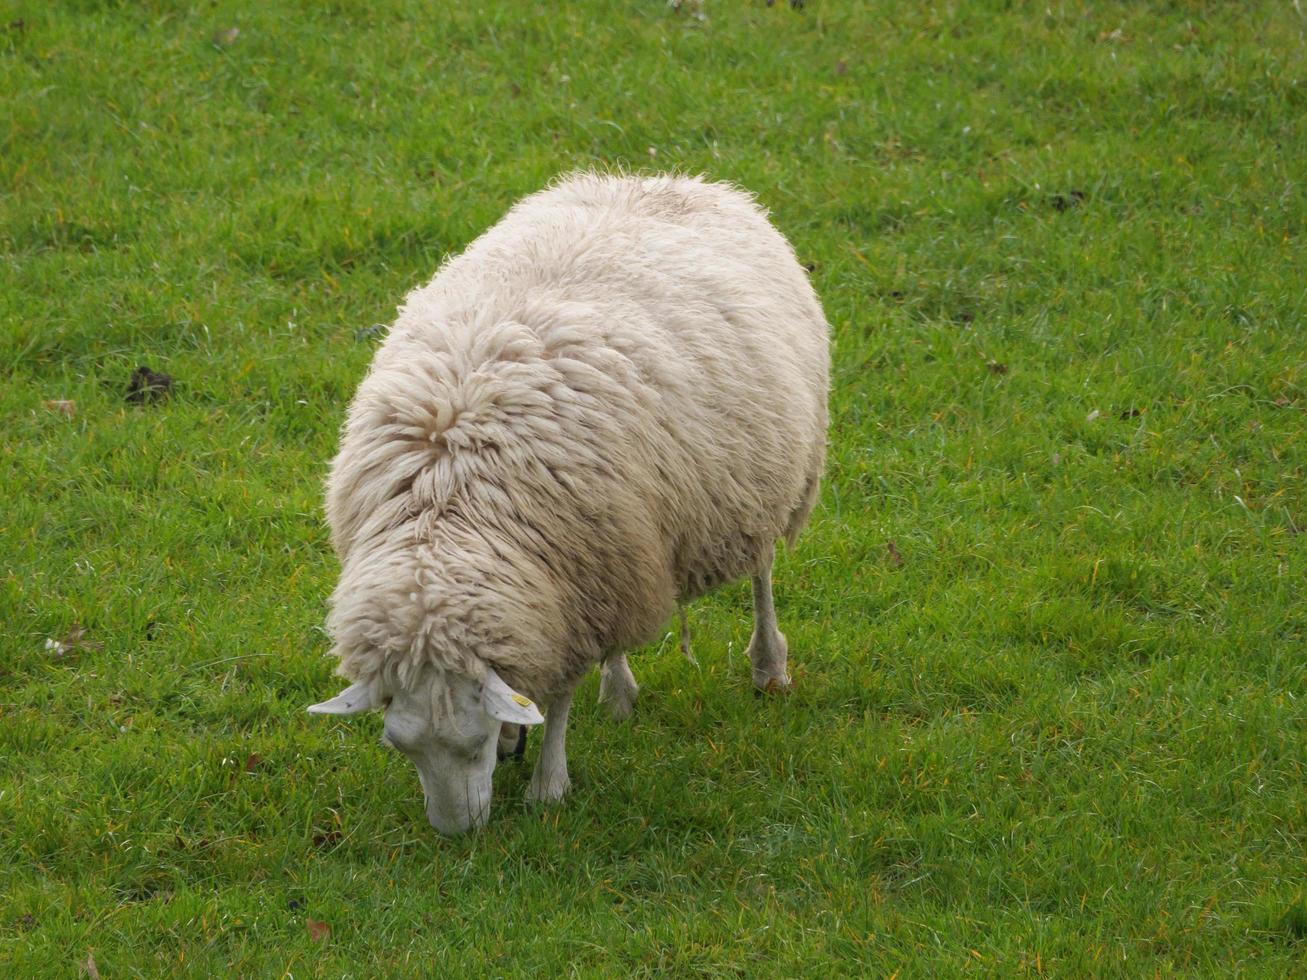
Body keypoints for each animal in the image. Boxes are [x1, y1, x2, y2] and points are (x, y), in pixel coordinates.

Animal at [305, 172, 826, 831]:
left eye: (472, 744)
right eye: (397, 746)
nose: (455, 834)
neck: (446, 506)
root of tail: (667, 179)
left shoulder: (572, 593)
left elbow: (557, 697)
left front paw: (548, 784)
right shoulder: (570, 583)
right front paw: (525, 738)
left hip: (769, 479)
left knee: (762, 572)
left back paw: (768, 667)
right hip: (628, 547)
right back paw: (620, 691)